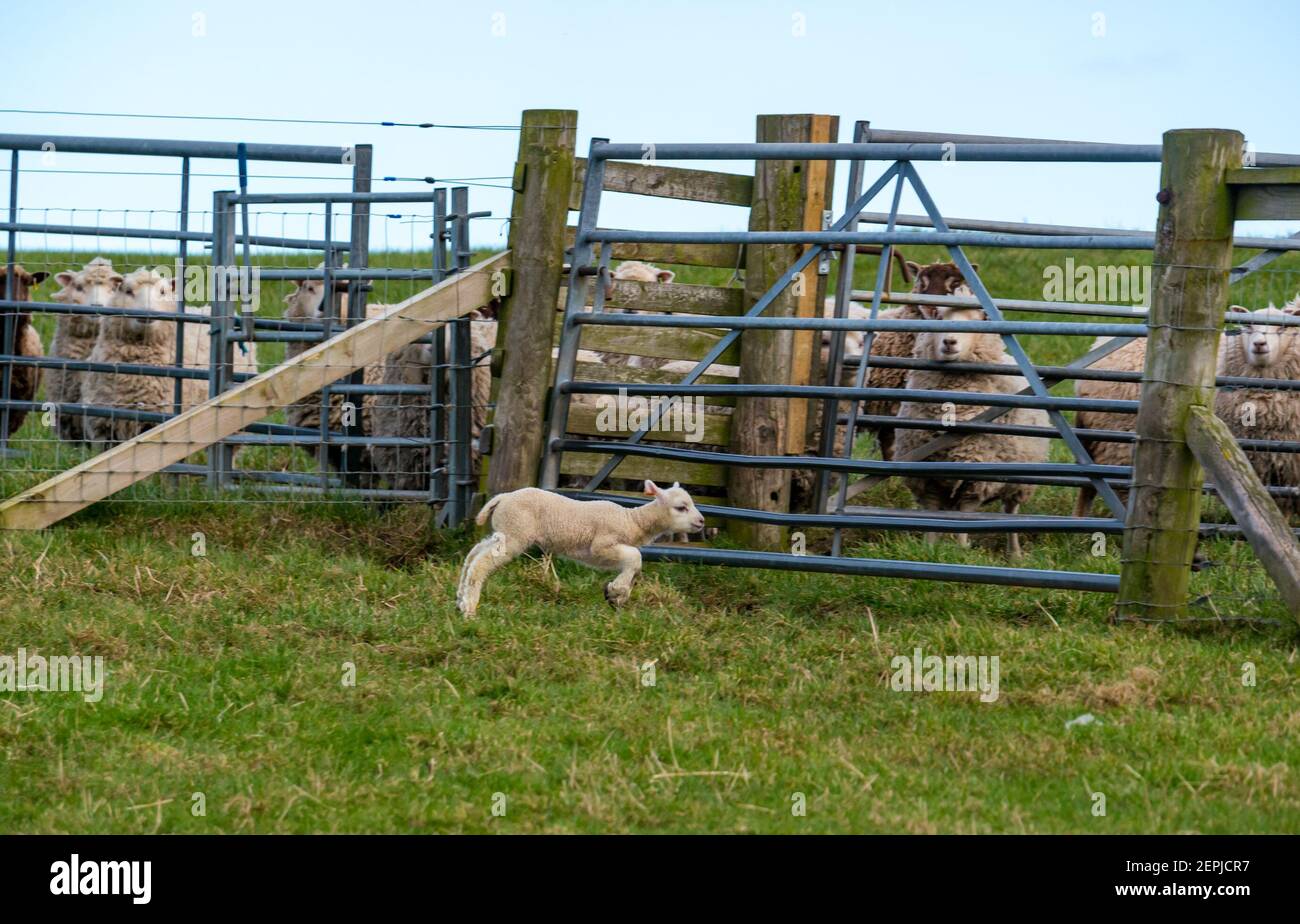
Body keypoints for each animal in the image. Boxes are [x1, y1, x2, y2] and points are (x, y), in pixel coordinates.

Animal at [454, 480, 702, 618]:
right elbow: (635, 557)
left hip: (505, 532)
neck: (632, 521)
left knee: (475, 553)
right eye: (681, 507)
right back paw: (469, 607)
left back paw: (460, 597)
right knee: (482, 562)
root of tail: (502, 498)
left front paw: (617, 595)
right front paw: (615, 590)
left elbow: (633, 565)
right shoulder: (601, 546)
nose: (701, 521)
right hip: (515, 533)